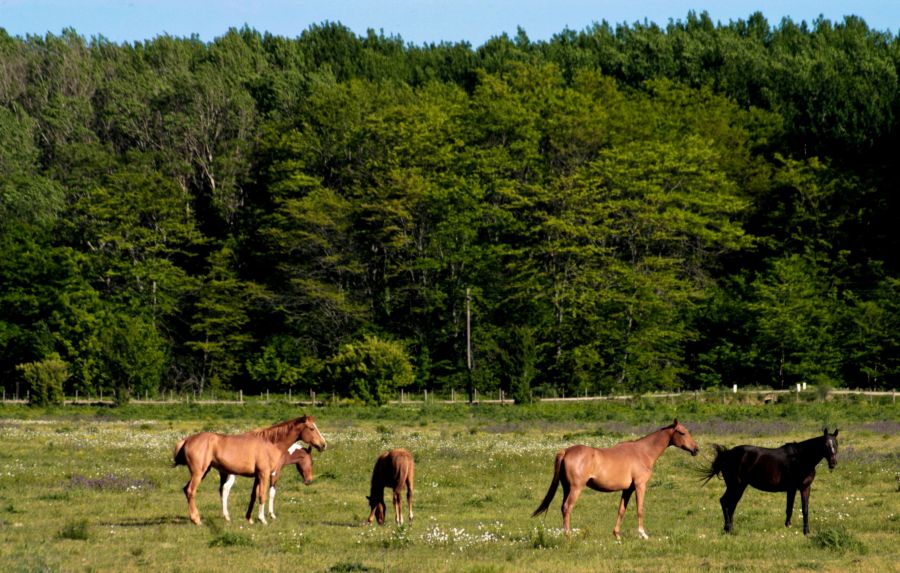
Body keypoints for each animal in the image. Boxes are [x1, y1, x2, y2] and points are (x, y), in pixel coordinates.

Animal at [171, 416, 326, 524]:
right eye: (312, 428)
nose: (323, 444)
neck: (270, 443)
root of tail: (187, 440)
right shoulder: (265, 474)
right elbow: (263, 495)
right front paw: (263, 519)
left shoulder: (257, 476)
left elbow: (253, 495)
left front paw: (249, 518)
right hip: (199, 473)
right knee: (191, 490)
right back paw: (196, 519)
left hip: (205, 472)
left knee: (187, 489)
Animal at [532, 418, 700, 540]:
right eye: (682, 432)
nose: (696, 449)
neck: (643, 452)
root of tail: (566, 451)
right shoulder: (640, 485)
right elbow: (640, 509)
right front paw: (643, 534)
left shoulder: (627, 489)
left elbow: (621, 510)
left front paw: (617, 535)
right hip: (575, 488)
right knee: (567, 508)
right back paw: (568, 536)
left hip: (566, 488)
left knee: (563, 507)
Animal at [700, 426, 840, 536]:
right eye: (825, 445)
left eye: (836, 444)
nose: (833, 463)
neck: (801, 458)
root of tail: (727, 454)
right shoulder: (799, 487)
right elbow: (799, 509)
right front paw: (803, 531)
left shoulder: (799, 488)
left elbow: (795, 508)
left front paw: (793, 528)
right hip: (736, 485)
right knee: (726, 502)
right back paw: (728, 529)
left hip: (738, 486)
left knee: (731, 504)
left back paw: (729, 528)